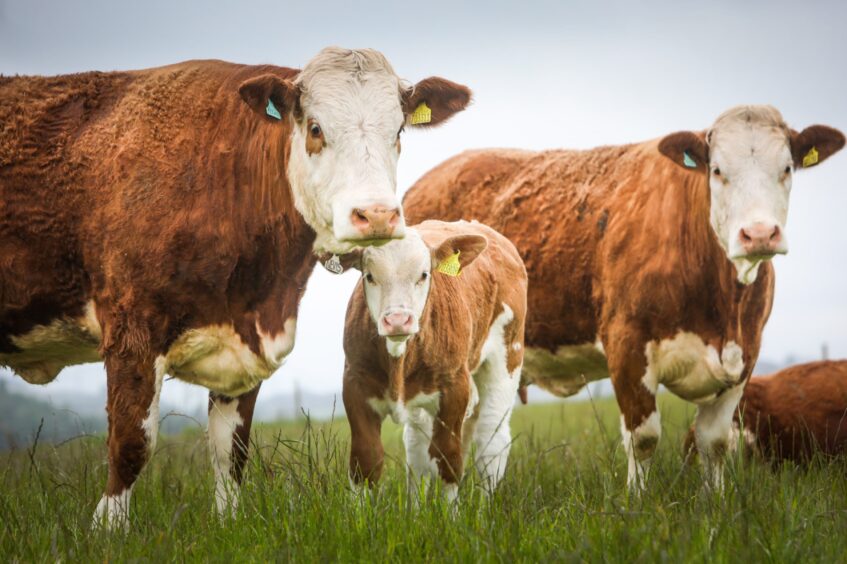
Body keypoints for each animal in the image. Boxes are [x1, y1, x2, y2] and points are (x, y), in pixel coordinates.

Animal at [0, 45, 470, 528]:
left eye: (398, 129)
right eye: (315, 128)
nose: (376, 215)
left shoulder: (244, 347)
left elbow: (231, 451)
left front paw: (227, 523)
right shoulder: (132, 332)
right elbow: (131, 443)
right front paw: (107, 530)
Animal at [342, 218, 528, 500]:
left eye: (423, 274)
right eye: (369, 276)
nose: (398, 320)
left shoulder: (454, 390)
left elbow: (448, 459)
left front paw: (449, 511)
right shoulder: (354, 385)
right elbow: (365, 462)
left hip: (507, 356)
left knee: (491, 439)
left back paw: (486, 506)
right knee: (417, 448)